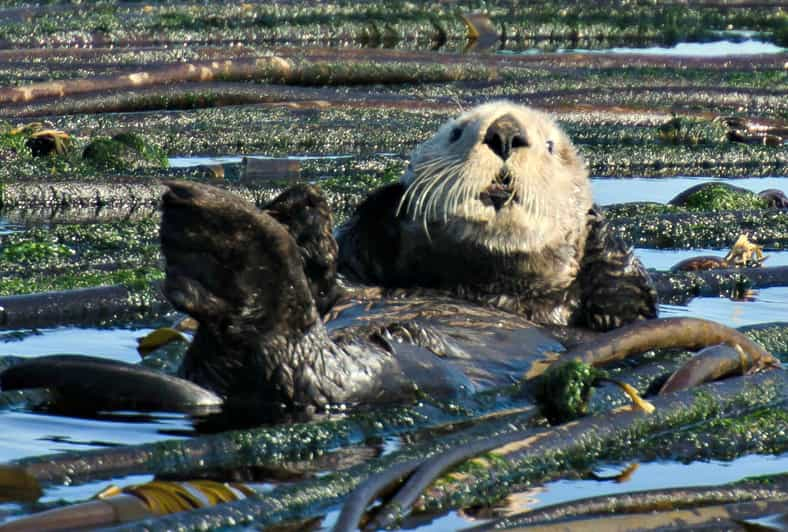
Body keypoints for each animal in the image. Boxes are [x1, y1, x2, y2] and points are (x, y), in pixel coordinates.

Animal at [0, 102, 660, 418]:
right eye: (456, 132)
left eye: (550, 146)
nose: (503, 133)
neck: (479, 285)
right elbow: (340, 277)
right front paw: (307, 221)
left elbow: (625, 301)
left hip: (403, 373)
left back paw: (224, 247)